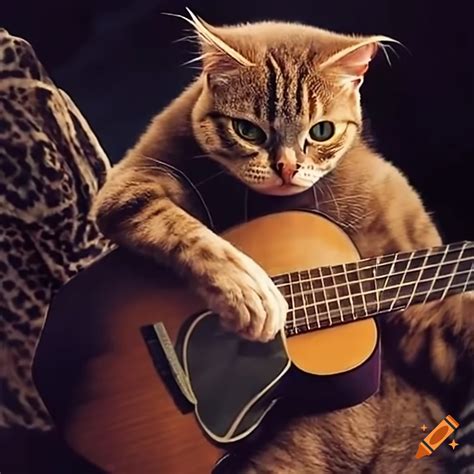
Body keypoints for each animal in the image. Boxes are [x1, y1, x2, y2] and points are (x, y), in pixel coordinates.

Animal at [91, 8, 470, 474]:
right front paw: (249, 292)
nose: (287, 168)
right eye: (247, 131)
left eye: (322, 131)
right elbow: (181, 230)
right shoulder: (129, 183)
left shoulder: (420, 296)